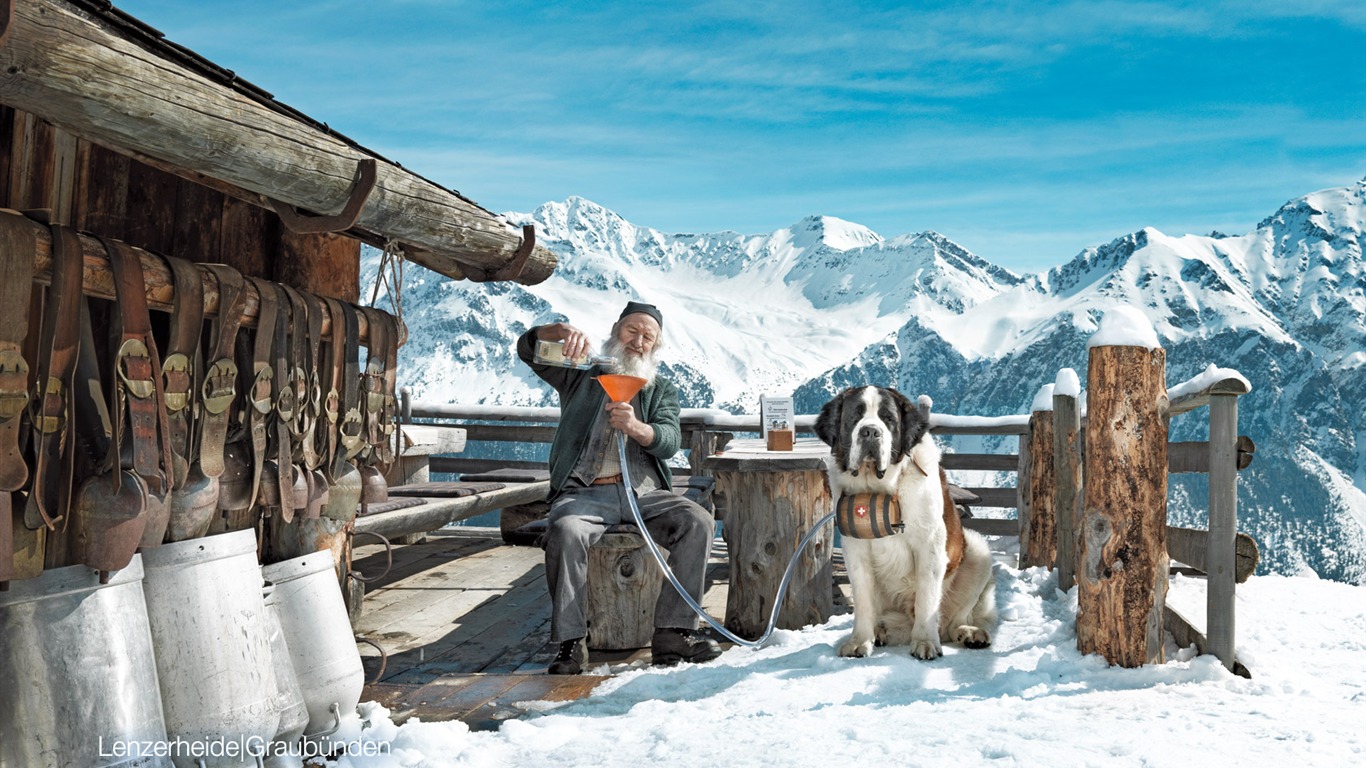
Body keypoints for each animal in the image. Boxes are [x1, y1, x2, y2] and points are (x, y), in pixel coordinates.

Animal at [814, 385, 999, 655]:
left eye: (888, 419)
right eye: (855, 417)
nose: (871, 431)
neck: (882, 488)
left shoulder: (930, 545)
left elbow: (926, 599)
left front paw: (925, 642)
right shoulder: (855, 548)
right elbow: (862, 599)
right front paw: (860, 641)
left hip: (977, 550)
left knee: (952, 621)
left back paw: (968, 633)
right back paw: (880, 632)